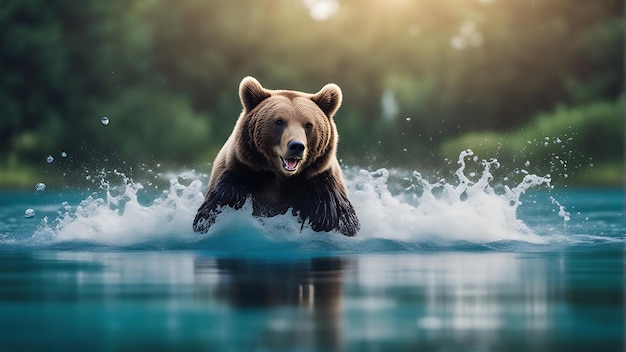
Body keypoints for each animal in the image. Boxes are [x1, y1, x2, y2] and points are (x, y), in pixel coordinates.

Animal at [193, 76, 358, 236]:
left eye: (308, 125)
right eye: (279, 122)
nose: (297, 146)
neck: (281, 177)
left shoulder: (320, 182)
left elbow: (335, 217)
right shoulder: (240, 173)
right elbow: (216, 208)